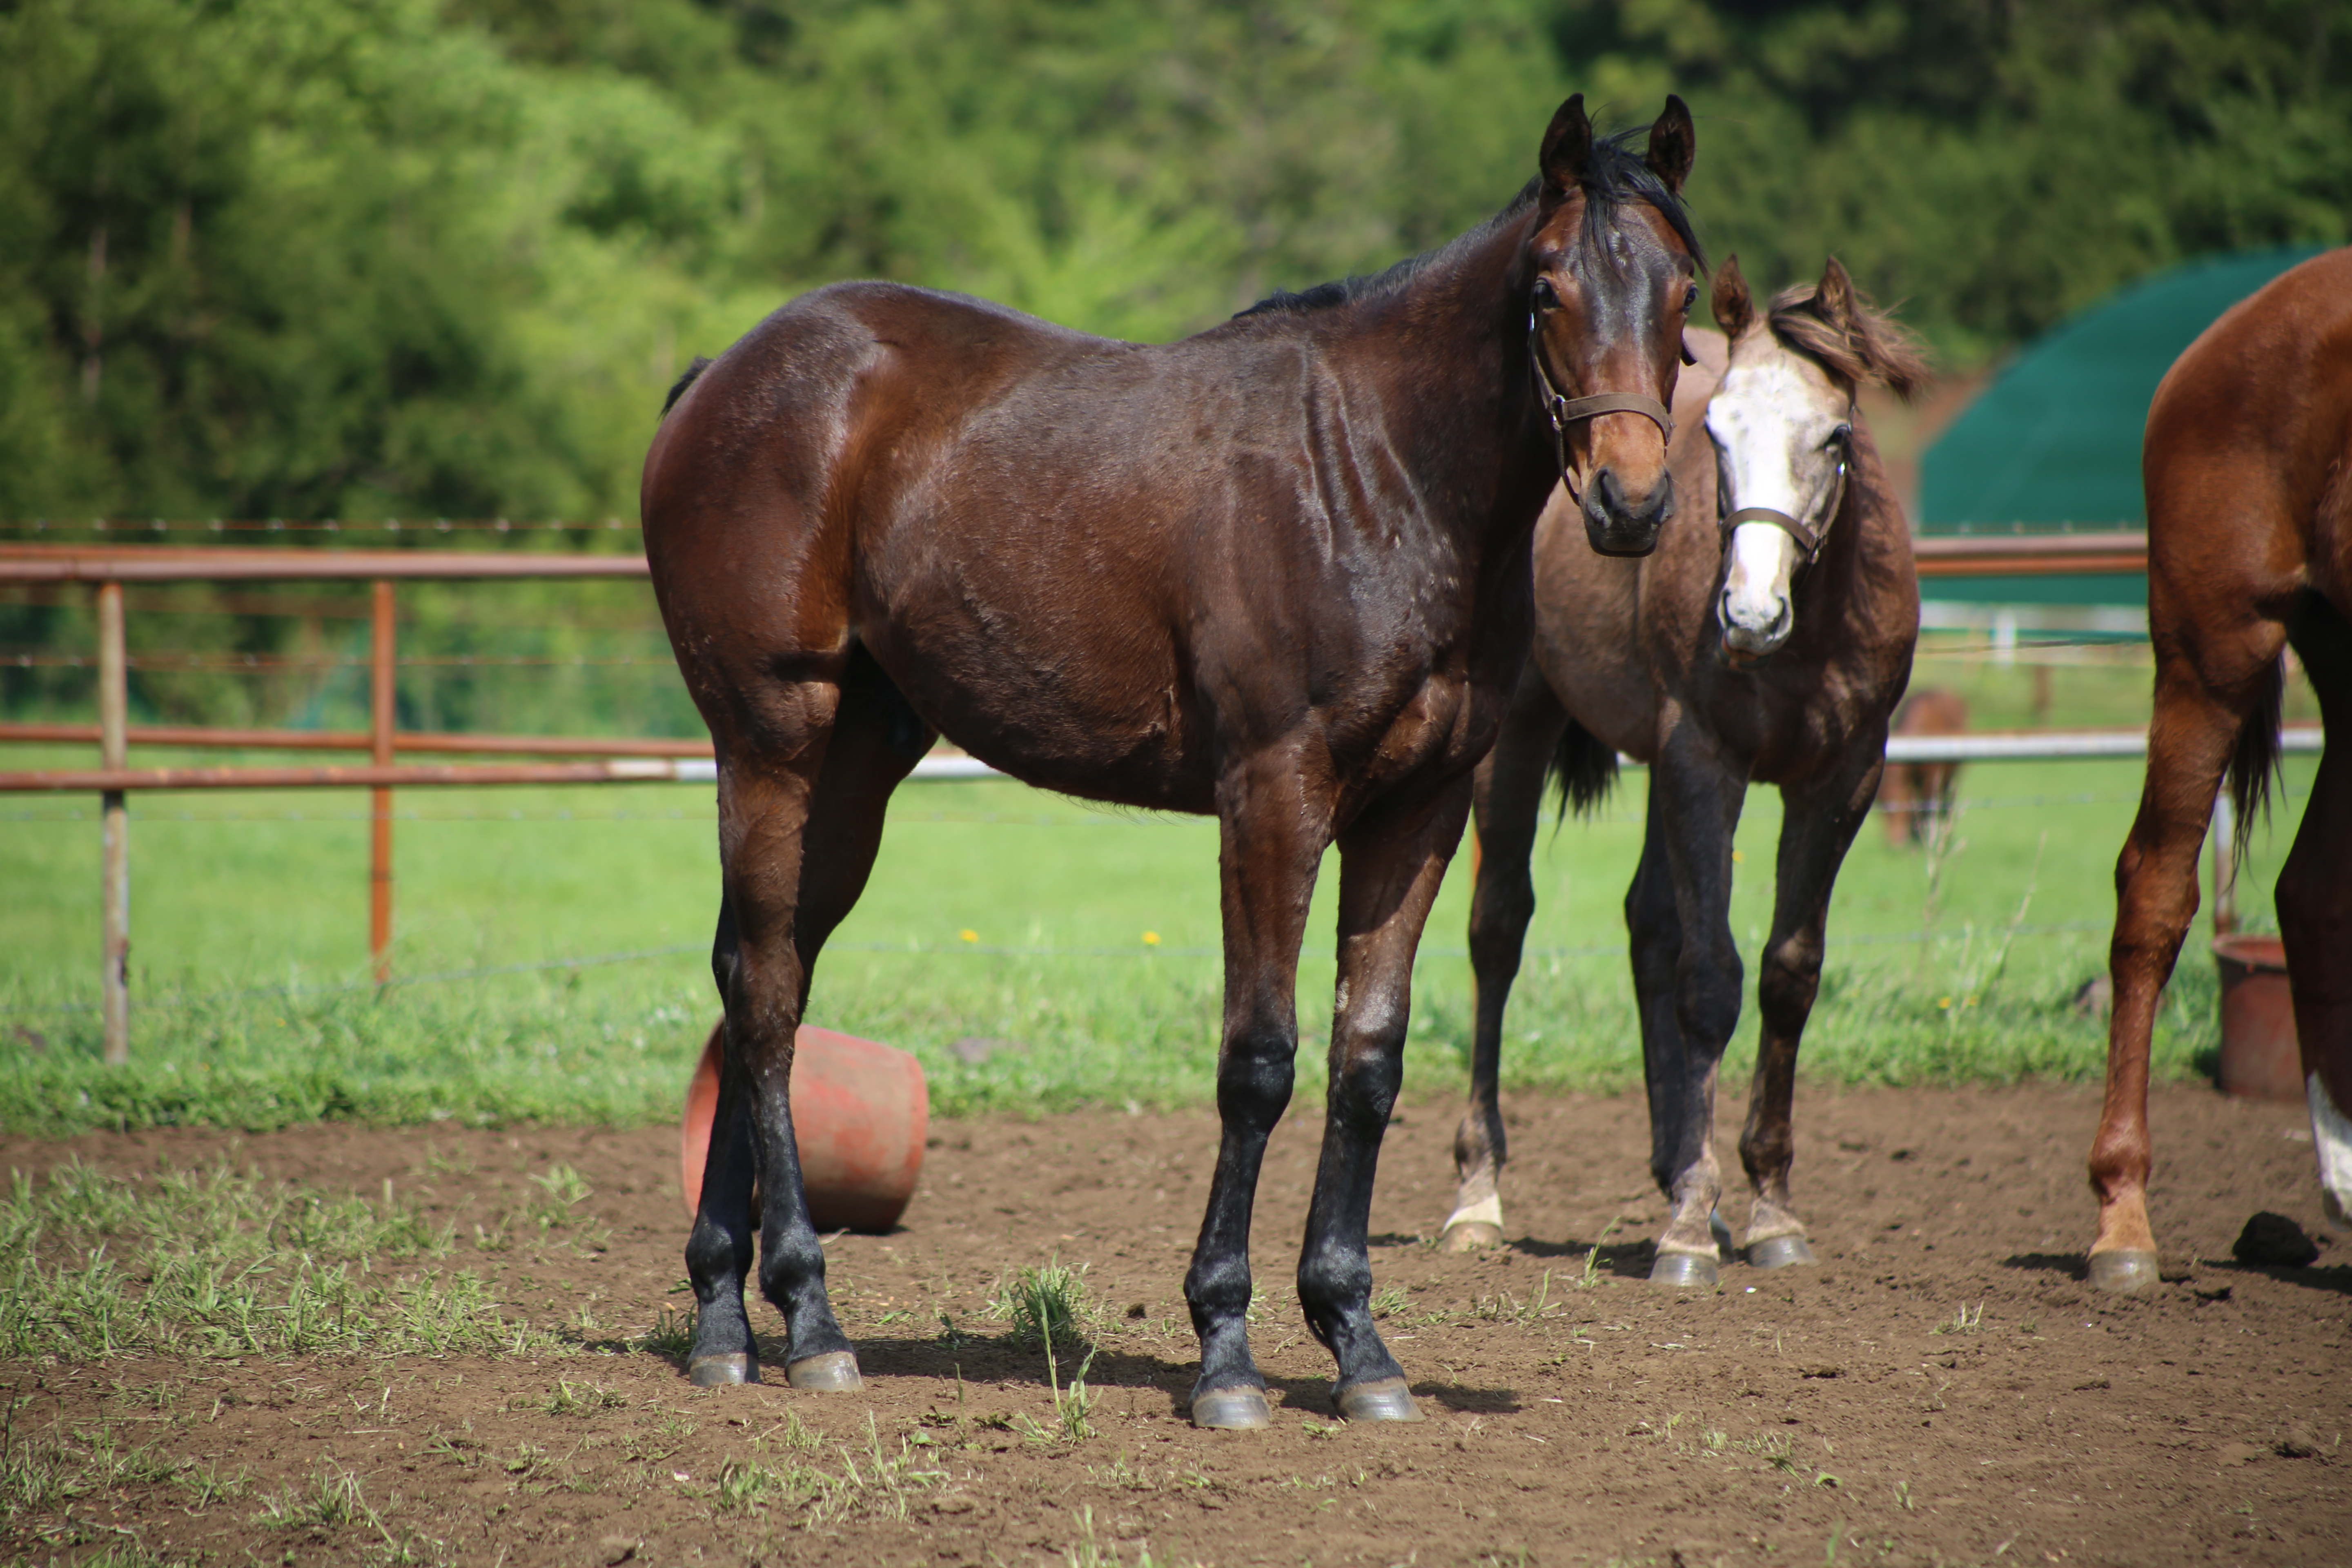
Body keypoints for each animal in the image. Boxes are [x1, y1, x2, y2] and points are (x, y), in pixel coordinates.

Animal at [644, 92, 1712, 1429]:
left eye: (1682, 288)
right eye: (1546, 288)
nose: (1630, 501)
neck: (1378, 475)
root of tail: (720, 377)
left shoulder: (1418, 811)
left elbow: (1367, 1061)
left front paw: (1358, 1343)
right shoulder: (1272, 795)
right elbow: (1258, 1061)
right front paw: (1226, 1350)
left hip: (855, 766)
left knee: (761, 972)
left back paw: (727, 1315)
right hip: (770, 740)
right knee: (765, 994)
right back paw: (810, 1316)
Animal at [1430, 261, 1929, 1288]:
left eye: (1833, 437)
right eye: (1715, 435)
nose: (1746, 612)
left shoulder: (1843, 778)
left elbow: (1787, 974)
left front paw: (1769, 1205)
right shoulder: (1707, 760)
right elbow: (1710, 980)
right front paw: (1691, 1225)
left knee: (1647, 925)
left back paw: (1670, 1165)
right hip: (1521, 735)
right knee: (1497, 929)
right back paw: (1479, 1193)